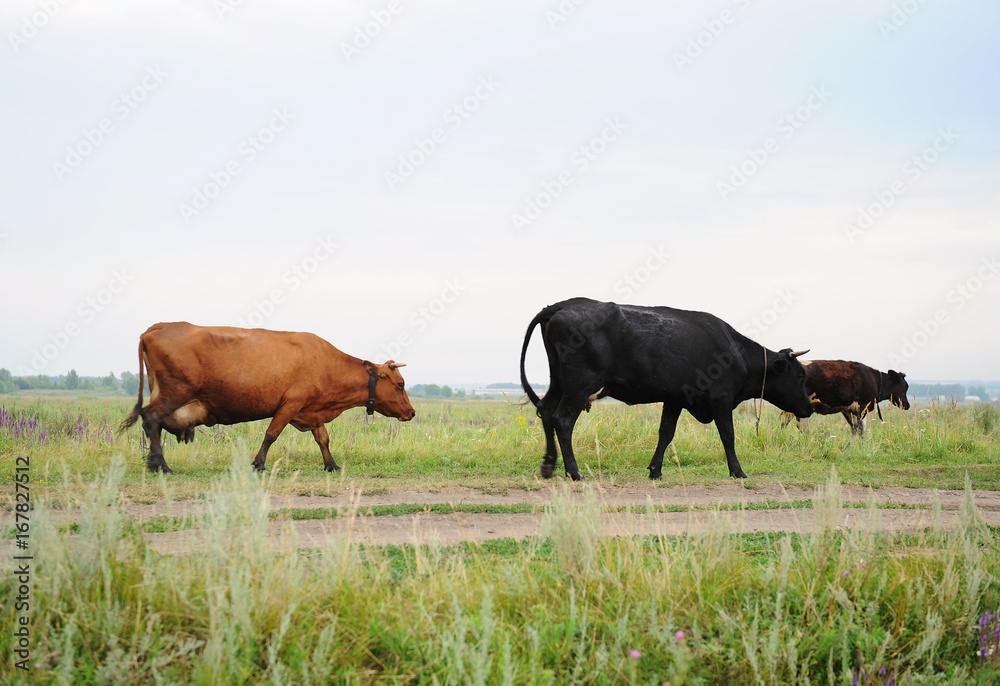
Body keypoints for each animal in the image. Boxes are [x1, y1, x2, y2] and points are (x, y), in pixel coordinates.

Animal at [119, 324, 416, 476]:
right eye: (400, 385)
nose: (412, 413)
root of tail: (158, 328)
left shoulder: (311, 410)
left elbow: (323, 439)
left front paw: (331, 465)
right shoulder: (291, 404)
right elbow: (271, 434)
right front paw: (258, 465)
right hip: (174, 393)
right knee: (151, 419)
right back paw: (160, 465)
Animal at [520, 298, 816, 482]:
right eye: (800, 374)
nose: (810, 408)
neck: (735, 350)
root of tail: (564, 304)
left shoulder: (675, 399)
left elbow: (666, 433)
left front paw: (655, 470)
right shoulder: (721, 399)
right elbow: (728, 435)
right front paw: (738, 471)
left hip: (559, 383)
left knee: (546, 411)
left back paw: (549, 465)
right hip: (579, 386)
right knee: (562, 420)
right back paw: (575, 472)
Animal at [784, 360, 912, 436]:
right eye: (904, 387)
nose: (907, 405)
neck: (874, 380)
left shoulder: (849, 410)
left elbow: (855, 429)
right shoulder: (863, 407)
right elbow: (861, 429)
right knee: (797, 424)